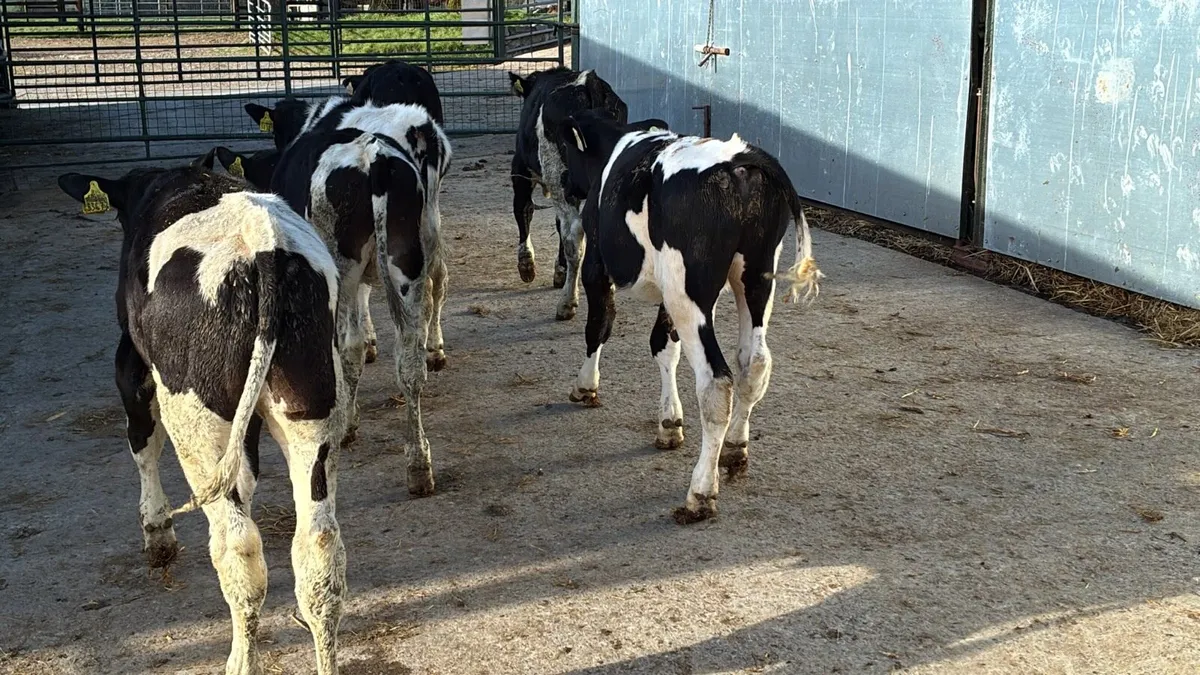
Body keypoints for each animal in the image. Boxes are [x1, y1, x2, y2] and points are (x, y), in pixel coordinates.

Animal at [57, 165, 347, 674]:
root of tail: (263, 246)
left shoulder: (130, 361)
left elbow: (142, 441)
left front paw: (157, 533)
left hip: (196, 421)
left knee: (238, 546)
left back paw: (240, 660)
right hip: (314, 408)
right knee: (319, 545)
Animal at [269, 100, 452, 497]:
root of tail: (374, 157)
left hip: (343, 266)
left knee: (347, 347)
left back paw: (346, 425)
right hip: (409, 258)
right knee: (412, 356)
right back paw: (419, 464)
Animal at [508, 66, 629, 320]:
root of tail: (589, 82)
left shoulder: (520, 170)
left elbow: (523, 209)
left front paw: (526, 265)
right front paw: (559, 270)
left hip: (558, 179)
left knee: (573, 234)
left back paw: (567, 303)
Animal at [557, 109, 824, 524]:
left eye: (568, 149)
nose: (565, 183)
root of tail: (740, 159)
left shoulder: (598, 264)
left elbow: (599, 325)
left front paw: (586, 386)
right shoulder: (671, 291)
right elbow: (664, 347)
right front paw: (669, 423)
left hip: (690, 291)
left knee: (716, 380)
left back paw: (700, 492)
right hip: (755, 274)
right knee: (755, 362)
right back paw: (734, 449)